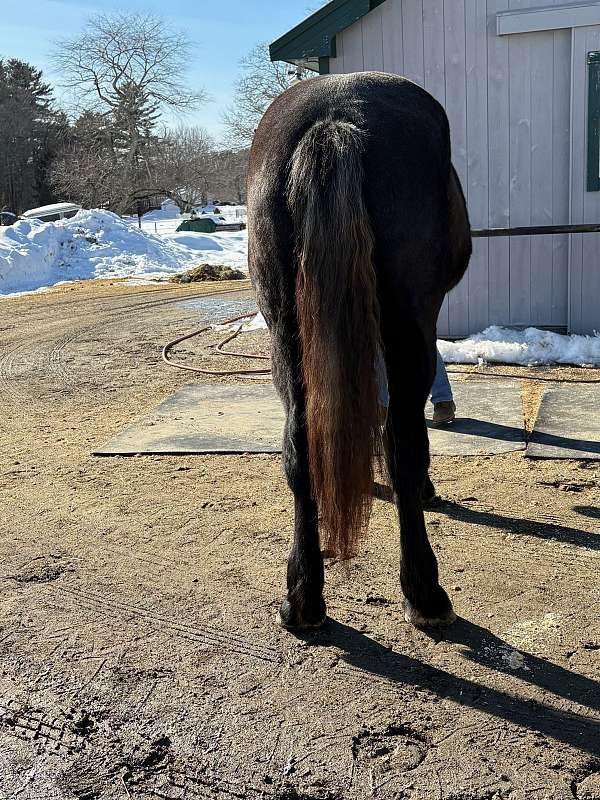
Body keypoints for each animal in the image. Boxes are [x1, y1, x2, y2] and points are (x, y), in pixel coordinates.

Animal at [247, 72, 472, 630]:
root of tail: (335, 116)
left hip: (286, 334)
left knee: (298, 448)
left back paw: (303, 599)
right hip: (408, 329)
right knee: (406, 444)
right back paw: (425, 593)